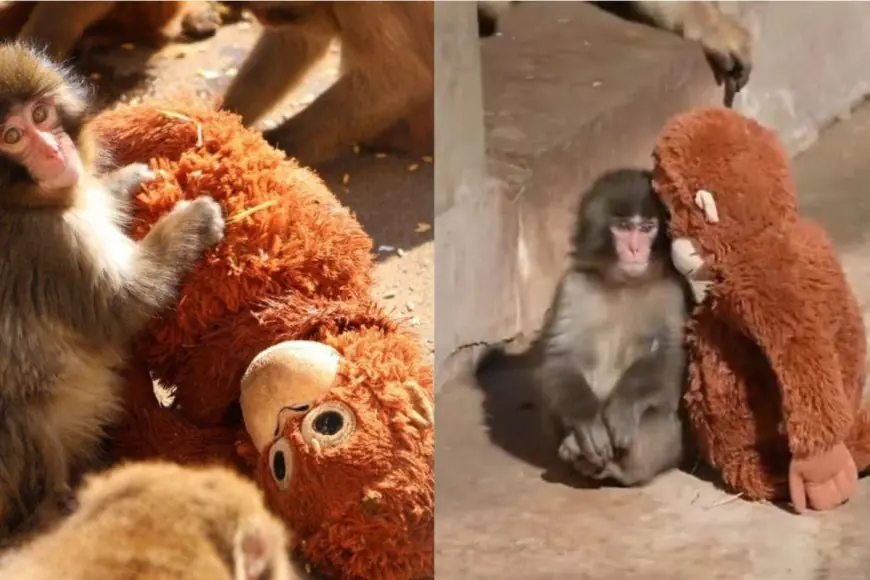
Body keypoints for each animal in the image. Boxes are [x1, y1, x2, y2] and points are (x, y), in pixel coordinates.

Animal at [0, 43, 225, 540]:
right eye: (12, 135)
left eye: (41, 114)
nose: (54, 151)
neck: (21, 203)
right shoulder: (48, 245)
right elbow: (121, 306)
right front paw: (192, 221)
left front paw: (127, 181)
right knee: (19, 413)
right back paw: (47, 513)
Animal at [220, 1, 434, 166]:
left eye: (272, 13)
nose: (265, 19)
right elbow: (295, 41)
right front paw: (224, 118)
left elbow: (398, 83)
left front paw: (266, 152)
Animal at [537, 169, 689, 487]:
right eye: (623, 227)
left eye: (647, 228)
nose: (635, 248)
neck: (624, 284)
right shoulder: (573, 286)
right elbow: (561, 357)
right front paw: (586, 421)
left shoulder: (672, 291)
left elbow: (669, 357)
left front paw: (624, 407)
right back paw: (575, 447)